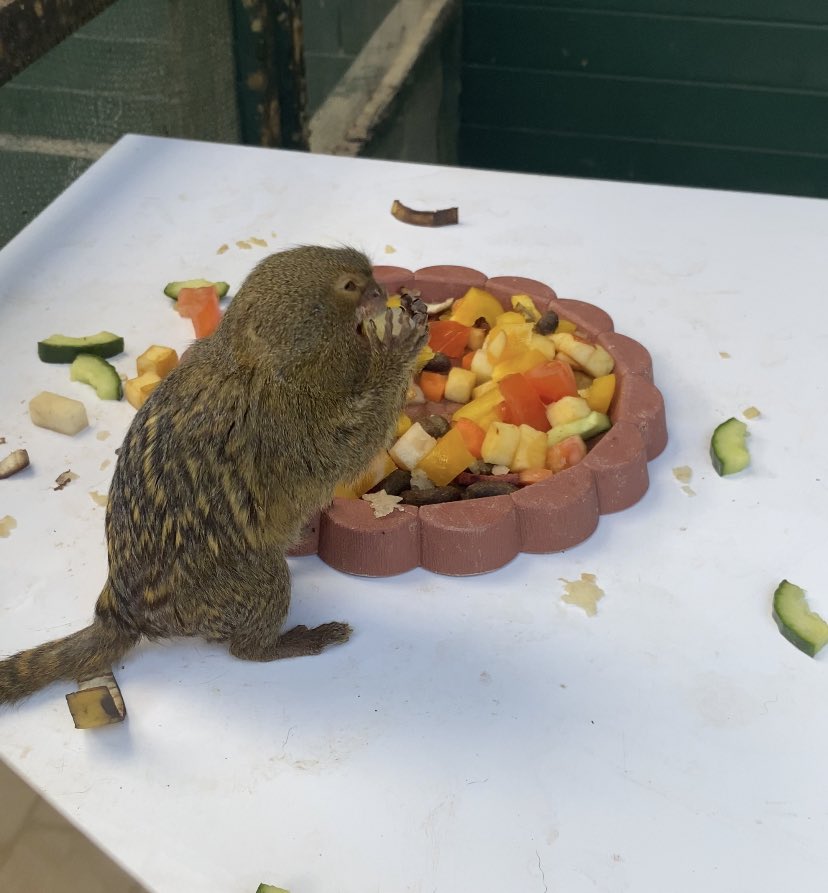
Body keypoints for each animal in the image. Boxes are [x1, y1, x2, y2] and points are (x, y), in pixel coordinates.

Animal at [0, 246, 428, 704]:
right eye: (351, 286)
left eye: (369, 274)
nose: (379, 291)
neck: (265, 365)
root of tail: (121, 609)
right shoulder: (283, 422)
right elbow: (343, 452)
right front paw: (398, 349)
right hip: (217, 593)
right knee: (262, 592)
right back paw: (271, 646)